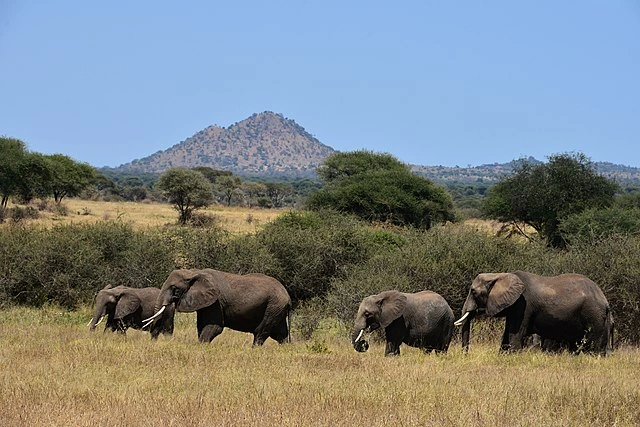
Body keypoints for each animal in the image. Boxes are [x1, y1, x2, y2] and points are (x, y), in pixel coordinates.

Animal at [143, 268, 291, 346]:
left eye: (175, 290)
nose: (153, 341)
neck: (194, 272)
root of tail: (288, 296)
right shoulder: (206, 303)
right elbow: (201, 326)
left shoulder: (216, 302)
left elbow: (214, 327)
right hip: (277, 308)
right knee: (280, 334)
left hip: (274, 306)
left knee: (261, 332)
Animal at [454, 271, 614, 355]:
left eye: (473, 292)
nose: (466, 355)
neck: (500, 275)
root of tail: (605, 300)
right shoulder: (515, 307)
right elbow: (507, 334)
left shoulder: (523, 305)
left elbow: (515, 334)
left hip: (593, 314)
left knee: (593, 344)